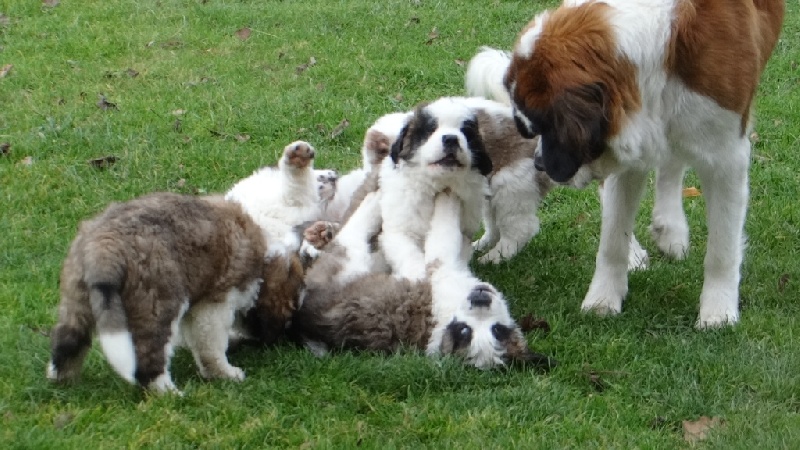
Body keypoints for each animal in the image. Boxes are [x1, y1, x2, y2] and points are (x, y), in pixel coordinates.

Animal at [47, 192, 304, 394]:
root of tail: (105, 243)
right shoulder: (215, 304)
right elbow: (210, 345)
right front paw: (226, 373)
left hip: (76, 296)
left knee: (68, 341)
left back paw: (62, 381)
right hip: (158, 301)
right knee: (149, 356)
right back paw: (168, 392)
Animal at [290, 190, 552, 370]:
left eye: (465, 331)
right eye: (498, 330)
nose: (480, 299)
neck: (452, 310)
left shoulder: (435, 265)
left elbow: (439, 233)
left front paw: (447, 197)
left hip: (348, 261)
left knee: (352, 233)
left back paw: (372, 202)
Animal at [504, 0, 784, 326]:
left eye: (542, 127)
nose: (538, 163)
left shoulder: (726, 155)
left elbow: (722, 248)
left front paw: (718, 312)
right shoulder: (629, 137)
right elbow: (613, 238)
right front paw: (603, 298)